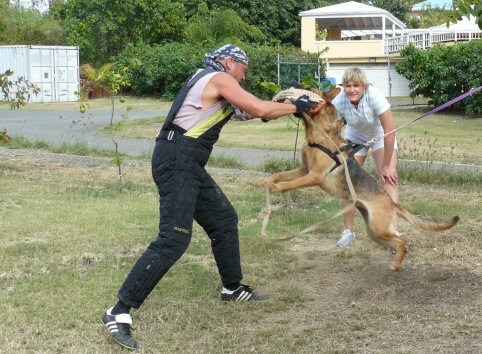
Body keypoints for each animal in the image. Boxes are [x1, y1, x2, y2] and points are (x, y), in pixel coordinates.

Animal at [252, 87, 460, 270]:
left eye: (309, 89)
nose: (293, 87)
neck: (319, 134)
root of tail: (391, 202)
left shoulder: (313, 176)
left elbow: (289, 184)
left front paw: (273, 188)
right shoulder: (304, 170)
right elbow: (279, 175)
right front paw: (261, 182)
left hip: (378, 228)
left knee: (403, 240)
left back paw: (395, 263)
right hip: (374, 232)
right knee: (400, 243)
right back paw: (397, 262)